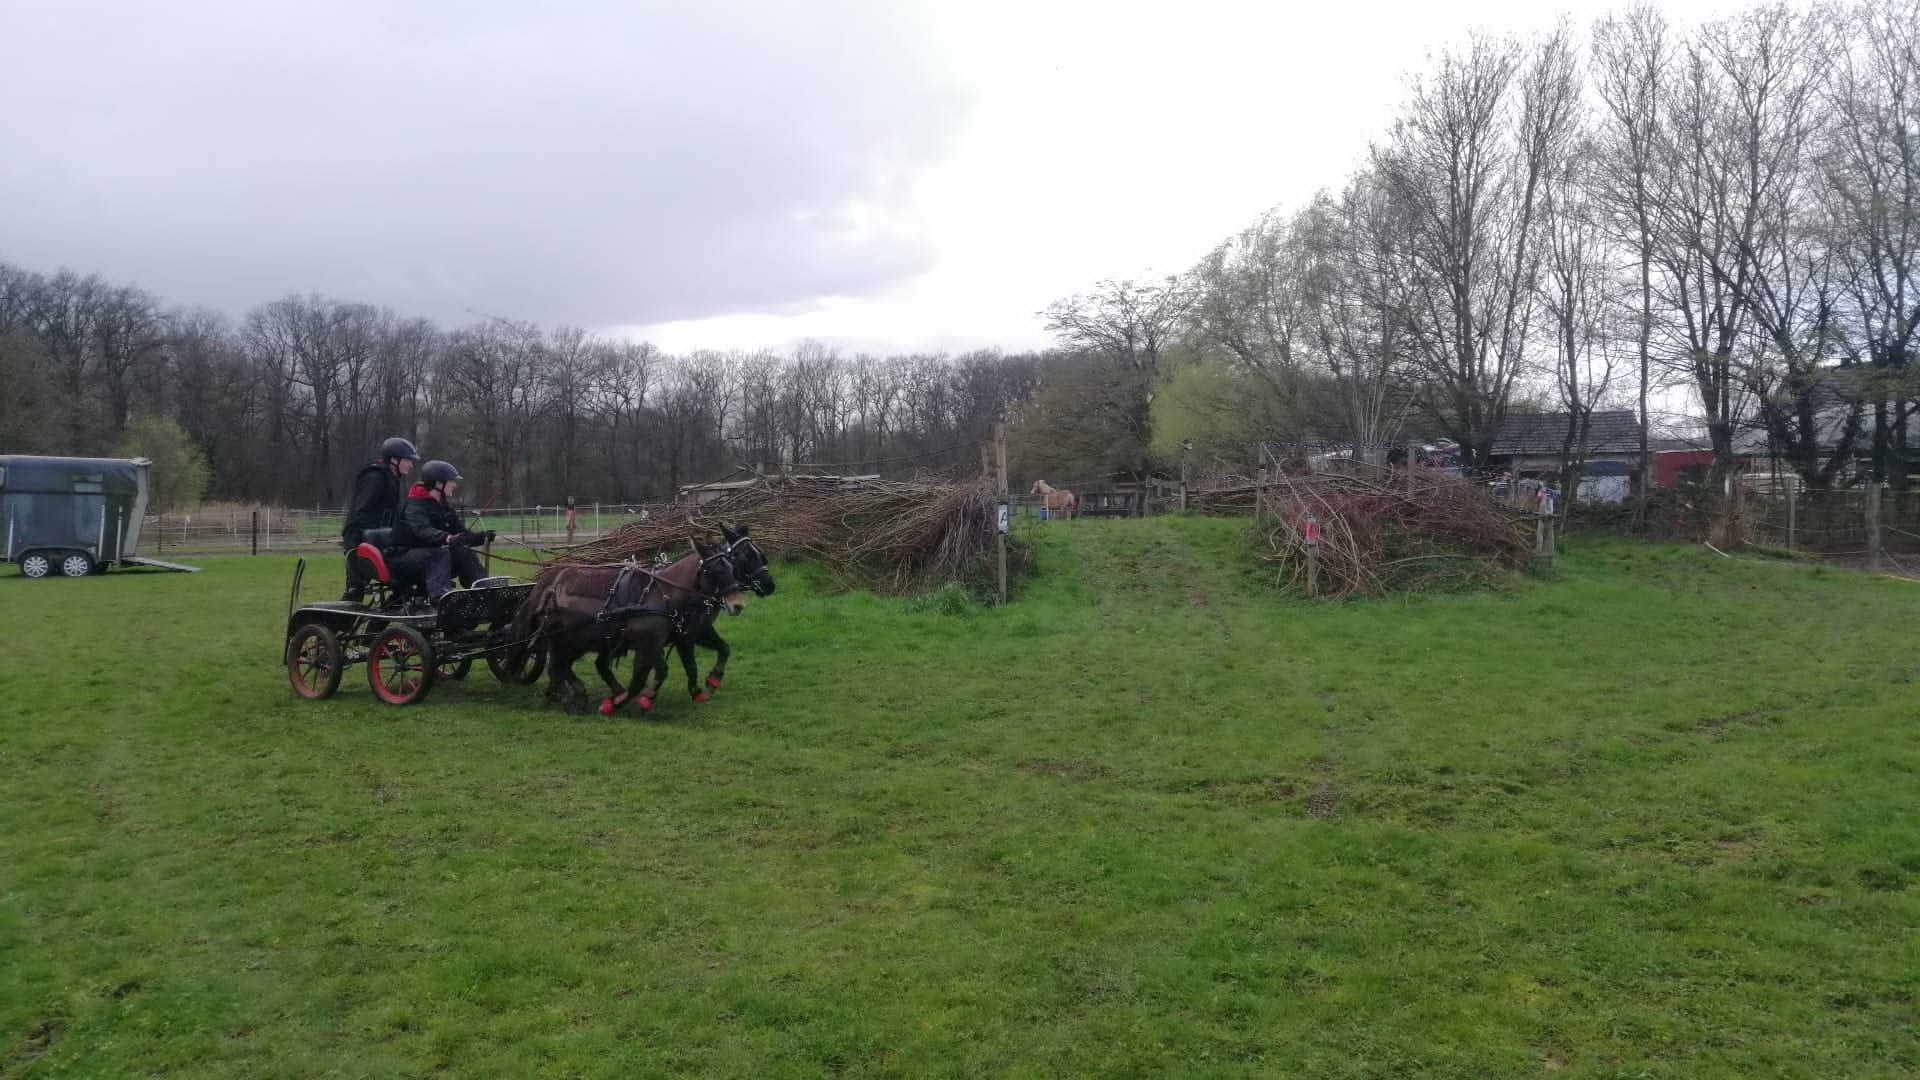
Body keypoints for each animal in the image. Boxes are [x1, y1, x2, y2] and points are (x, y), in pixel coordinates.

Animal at [503, 530, 748, 714]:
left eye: (732, 567)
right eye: (715, 570)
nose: (738, 605)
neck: (662, 594)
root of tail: (548, 581)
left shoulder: (675, 637)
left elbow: (686, 665)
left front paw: (704, 687)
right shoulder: (649, 643)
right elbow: (658, 672)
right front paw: (634, 700)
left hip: (579, 640)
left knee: (566, 666)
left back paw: (571, 694)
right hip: (563, 639)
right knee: (558, 666)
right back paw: (568, 695)